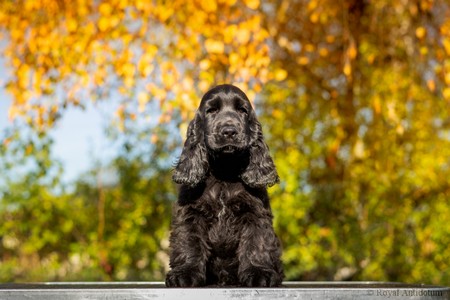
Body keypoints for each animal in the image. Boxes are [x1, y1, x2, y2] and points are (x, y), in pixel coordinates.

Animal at [167, 83, 284, 288]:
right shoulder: (190, 213)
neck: (224, 171)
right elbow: (189, 241)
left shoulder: (255, 212)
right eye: (211, 110)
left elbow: (256, 242)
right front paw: (185, 273)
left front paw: (258, 272)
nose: (229, 131)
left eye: (242, 110)